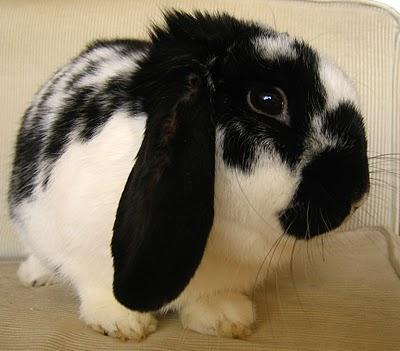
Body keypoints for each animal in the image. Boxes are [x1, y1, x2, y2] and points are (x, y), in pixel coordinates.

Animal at [7, 10, 368, 340]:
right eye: (267, 100)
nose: (357, 194)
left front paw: (227, 319)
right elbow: (97, 286)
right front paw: (124, 323)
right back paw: (34, 276)